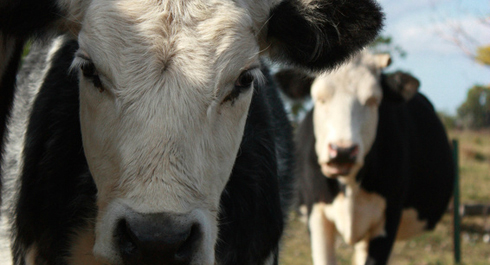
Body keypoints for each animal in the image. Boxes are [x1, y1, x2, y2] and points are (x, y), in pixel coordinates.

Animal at [276, 51, 456, 264]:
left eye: (372, 100)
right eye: (320, 98)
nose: (343, 151)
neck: (349, 184)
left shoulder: (388, 219)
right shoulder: (316, 215)